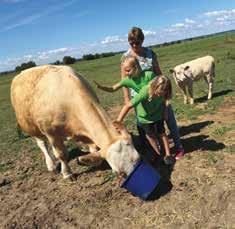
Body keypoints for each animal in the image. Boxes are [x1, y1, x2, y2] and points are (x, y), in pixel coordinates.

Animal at [10, 64, 140, 179]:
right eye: (119, 173)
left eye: (139, 159)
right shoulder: (51, 132)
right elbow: (61, 154)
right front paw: (67, 173)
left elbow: (93, 150)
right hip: (32, 128)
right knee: (42, 144)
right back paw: (51, 165)